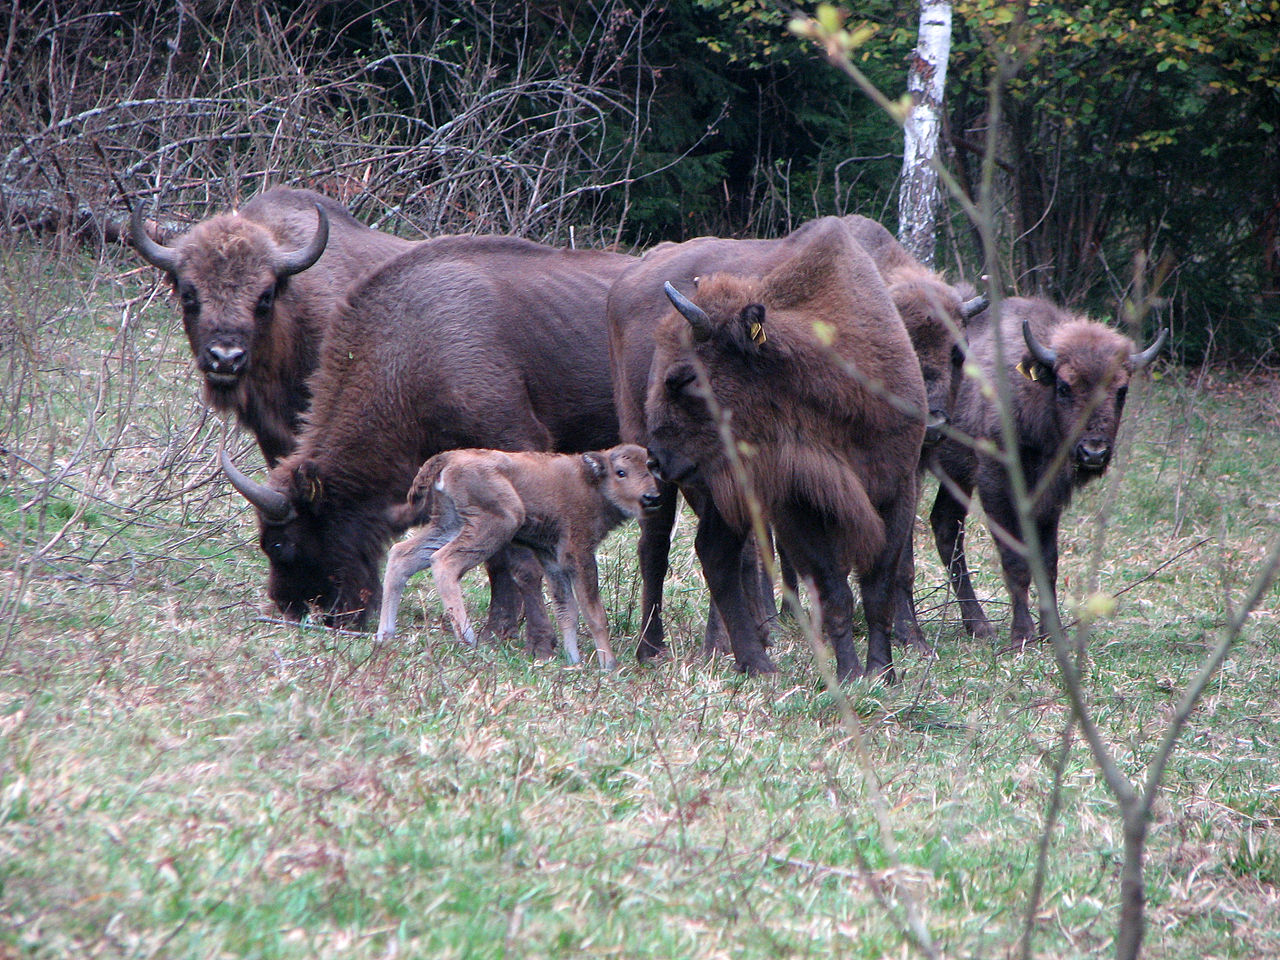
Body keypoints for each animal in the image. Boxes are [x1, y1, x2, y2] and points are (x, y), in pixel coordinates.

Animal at [222, 231, 637, 647]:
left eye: (280, 544)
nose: (292, 610)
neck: (412, 348)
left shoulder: (516, 446)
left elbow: (520, 562)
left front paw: (538, 642)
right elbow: (497, 560)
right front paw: (498, 629)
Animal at [373, 442, 660, 670]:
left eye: (651, 469)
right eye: (621, 472)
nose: (651, 497)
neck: (591, 483)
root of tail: (449, 457)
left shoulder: (553, 559)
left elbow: (567, 611)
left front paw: (573, 660)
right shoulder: (580, 555)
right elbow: (593, 613)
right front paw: (608, 665)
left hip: (449, 523)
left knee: (401, 556)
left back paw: (384, 635)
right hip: (499, 522)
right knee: (444, 562)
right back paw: (468, 639)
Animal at [645, 221, 926, 680]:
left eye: (685, 378)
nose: (657, 459)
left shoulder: (897, 488)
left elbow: (878, 590)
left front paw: (882, 672)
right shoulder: (798, 505)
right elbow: (834, 591)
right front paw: (850, 674)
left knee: (716, 553)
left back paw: (756, 662)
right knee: (717, 555)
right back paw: (759, 664)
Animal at [931, 296, 1172, 650]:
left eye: (1122, 390)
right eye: (1064, 386)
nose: (1094, 452)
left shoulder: (1050, 497)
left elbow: (1047, 562)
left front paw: (1054, 633)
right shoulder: (996, 484)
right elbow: (1015, 559)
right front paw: (1022, 634)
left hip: (954, 475)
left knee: (945, 528)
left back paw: (979, 626)